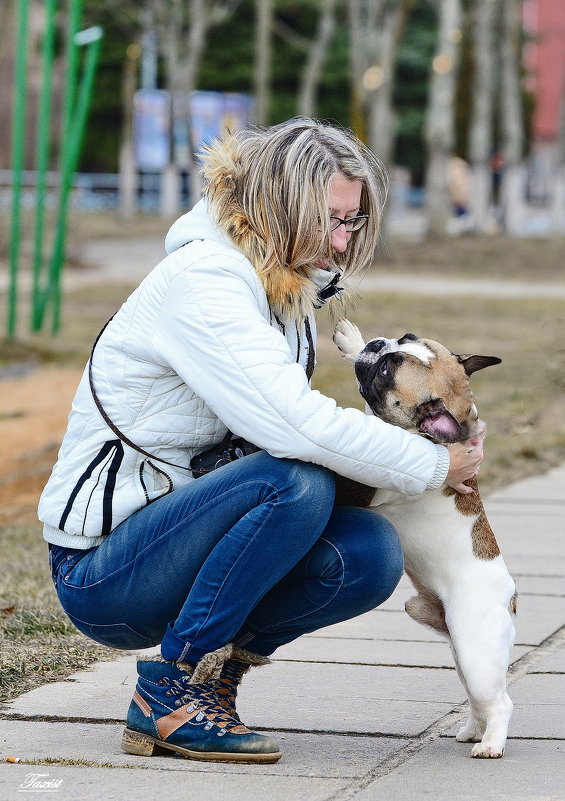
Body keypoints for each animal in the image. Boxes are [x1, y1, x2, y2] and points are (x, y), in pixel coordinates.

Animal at [332, 318, 516, 756]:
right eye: (405, 338)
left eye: (387, 372)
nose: (379, 346)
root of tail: (510, 597)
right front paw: (353, 341)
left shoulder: (363, 481)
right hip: (460, 651)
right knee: (477, 698)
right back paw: (473, 730)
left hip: (477, 653)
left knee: (499, 700)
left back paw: (490, 744)